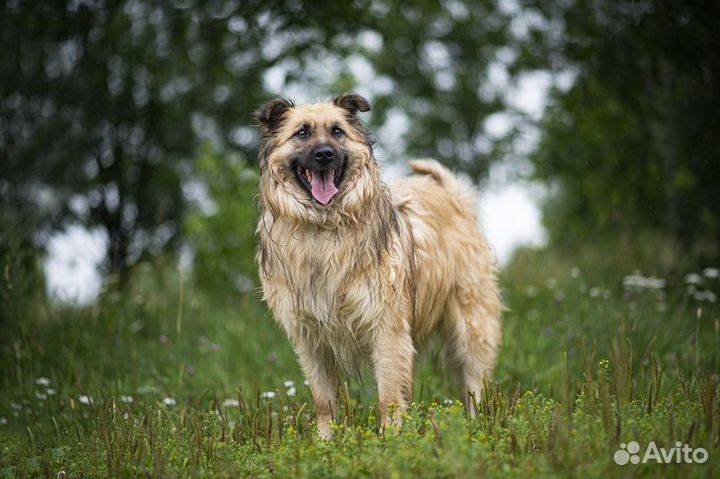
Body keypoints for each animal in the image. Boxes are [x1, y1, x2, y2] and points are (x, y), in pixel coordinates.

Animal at [256, 93, 504, 438]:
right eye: (301, 133)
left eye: (337, 131)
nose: (324, 154)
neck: (323, 227)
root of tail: (454, 197)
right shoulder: (310, 339)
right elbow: (324, 400)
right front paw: (324, 442)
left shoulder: (386, 328)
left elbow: (389, 395)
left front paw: (391, 440)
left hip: (471, 325)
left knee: (475, 382)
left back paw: (477, 427)